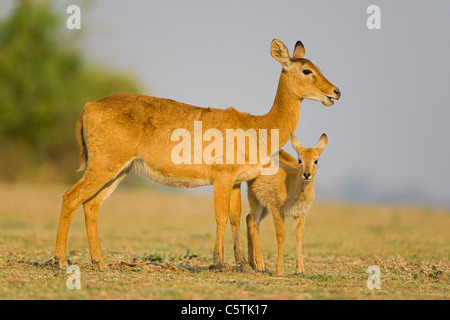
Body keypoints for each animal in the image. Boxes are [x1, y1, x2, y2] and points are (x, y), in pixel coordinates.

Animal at [246, 132, 326, 276]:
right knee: (253, 224)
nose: (307, 174)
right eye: (299, 159)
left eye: (316, 160)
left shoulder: (301, 213)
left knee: (248, 218)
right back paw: (260, 265)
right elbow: (281, 235)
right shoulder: (277, 211)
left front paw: (300, 270)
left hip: (264, 208)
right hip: (256, 200)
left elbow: (299, 234)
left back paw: (253, 263)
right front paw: (279, 270)